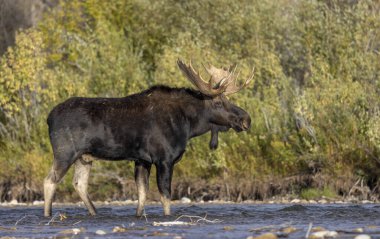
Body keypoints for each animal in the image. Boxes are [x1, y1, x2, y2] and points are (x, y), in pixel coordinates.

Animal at [43, 59, 252, 217]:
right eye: (218, 102)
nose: (246, 119)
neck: (188, 125)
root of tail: (48, 118)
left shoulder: (142, 160)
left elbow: (142, 194)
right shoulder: (164, 159)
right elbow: (165, 196)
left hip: (84, 157)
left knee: (79, 184)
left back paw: (94, 213)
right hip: (65, 152)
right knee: (50, 181)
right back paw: (48, 215)